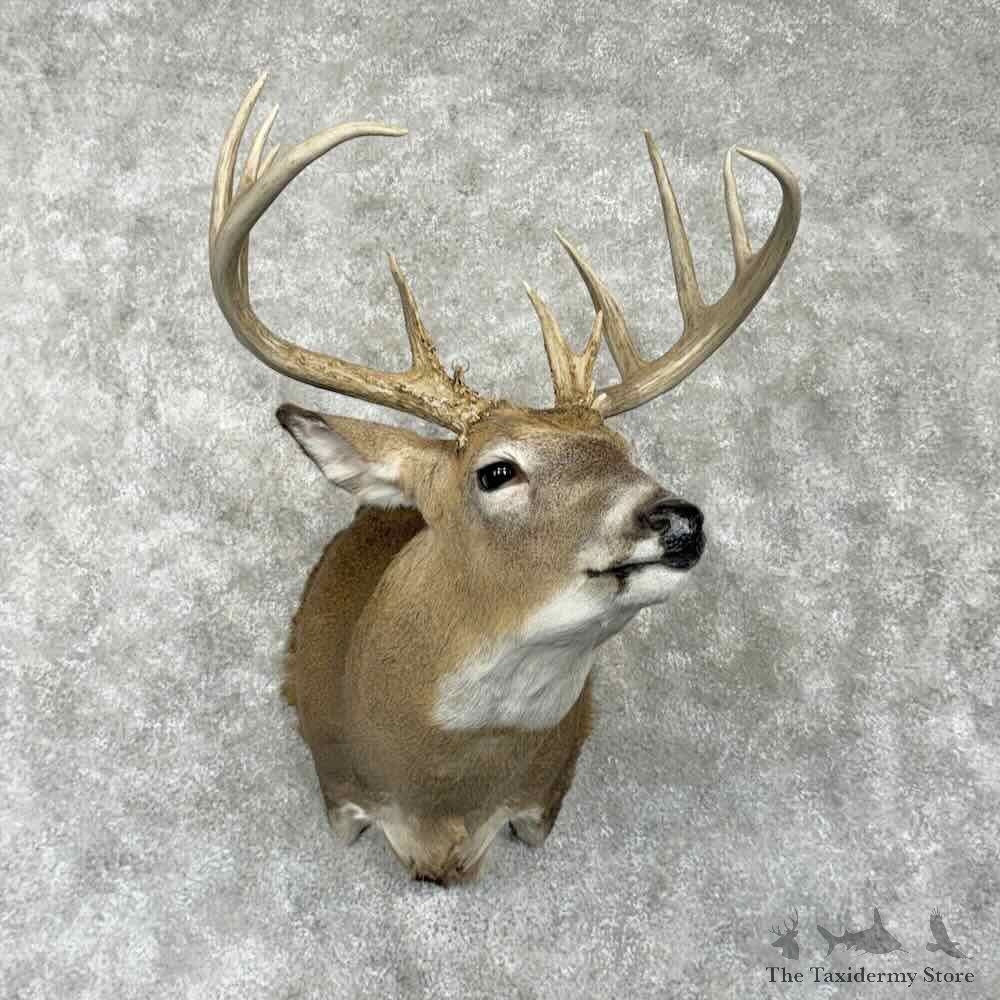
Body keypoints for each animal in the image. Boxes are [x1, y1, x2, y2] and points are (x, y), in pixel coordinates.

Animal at [208, 72, 800, 885]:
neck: (441, 801)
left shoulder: (544, 800)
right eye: (496, 471)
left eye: (624, 448)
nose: (677, 517)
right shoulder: (339, 791)